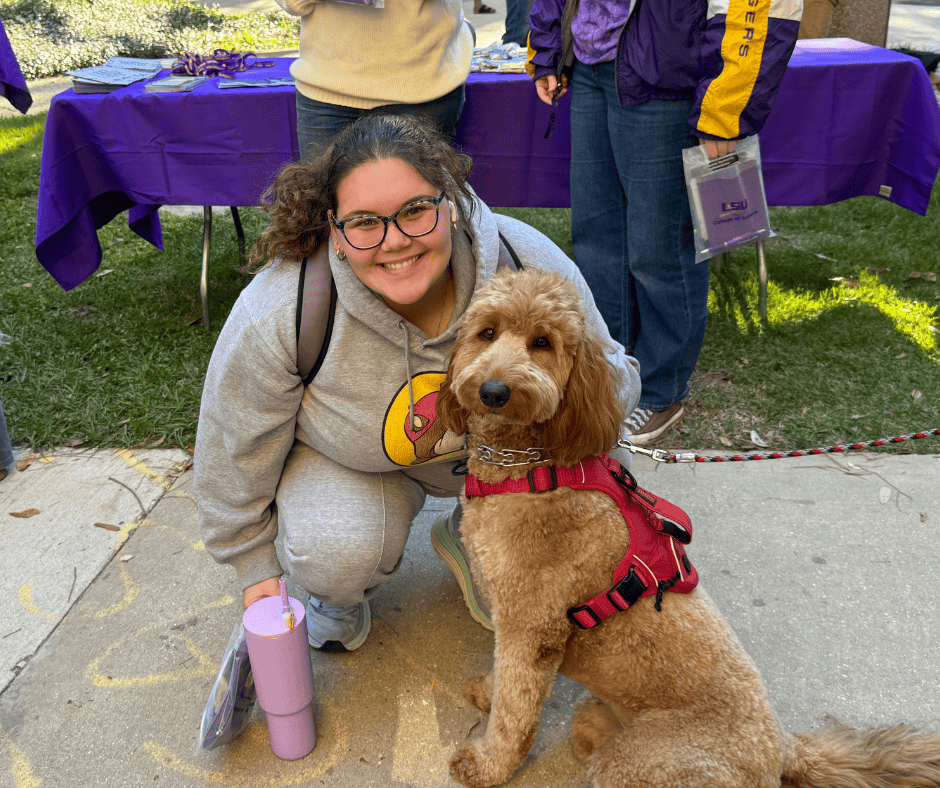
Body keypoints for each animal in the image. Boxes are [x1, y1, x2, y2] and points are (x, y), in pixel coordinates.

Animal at [436, 266, 940, 788]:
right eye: (487, 333)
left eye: (542, 342)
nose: (494, 391)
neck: (532, 465)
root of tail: (782, 748)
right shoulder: (510, 617)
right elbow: (504, 680)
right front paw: (487, 693)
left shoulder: (533, 626)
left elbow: (515, 710)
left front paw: (486, 763)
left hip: (638, 763)